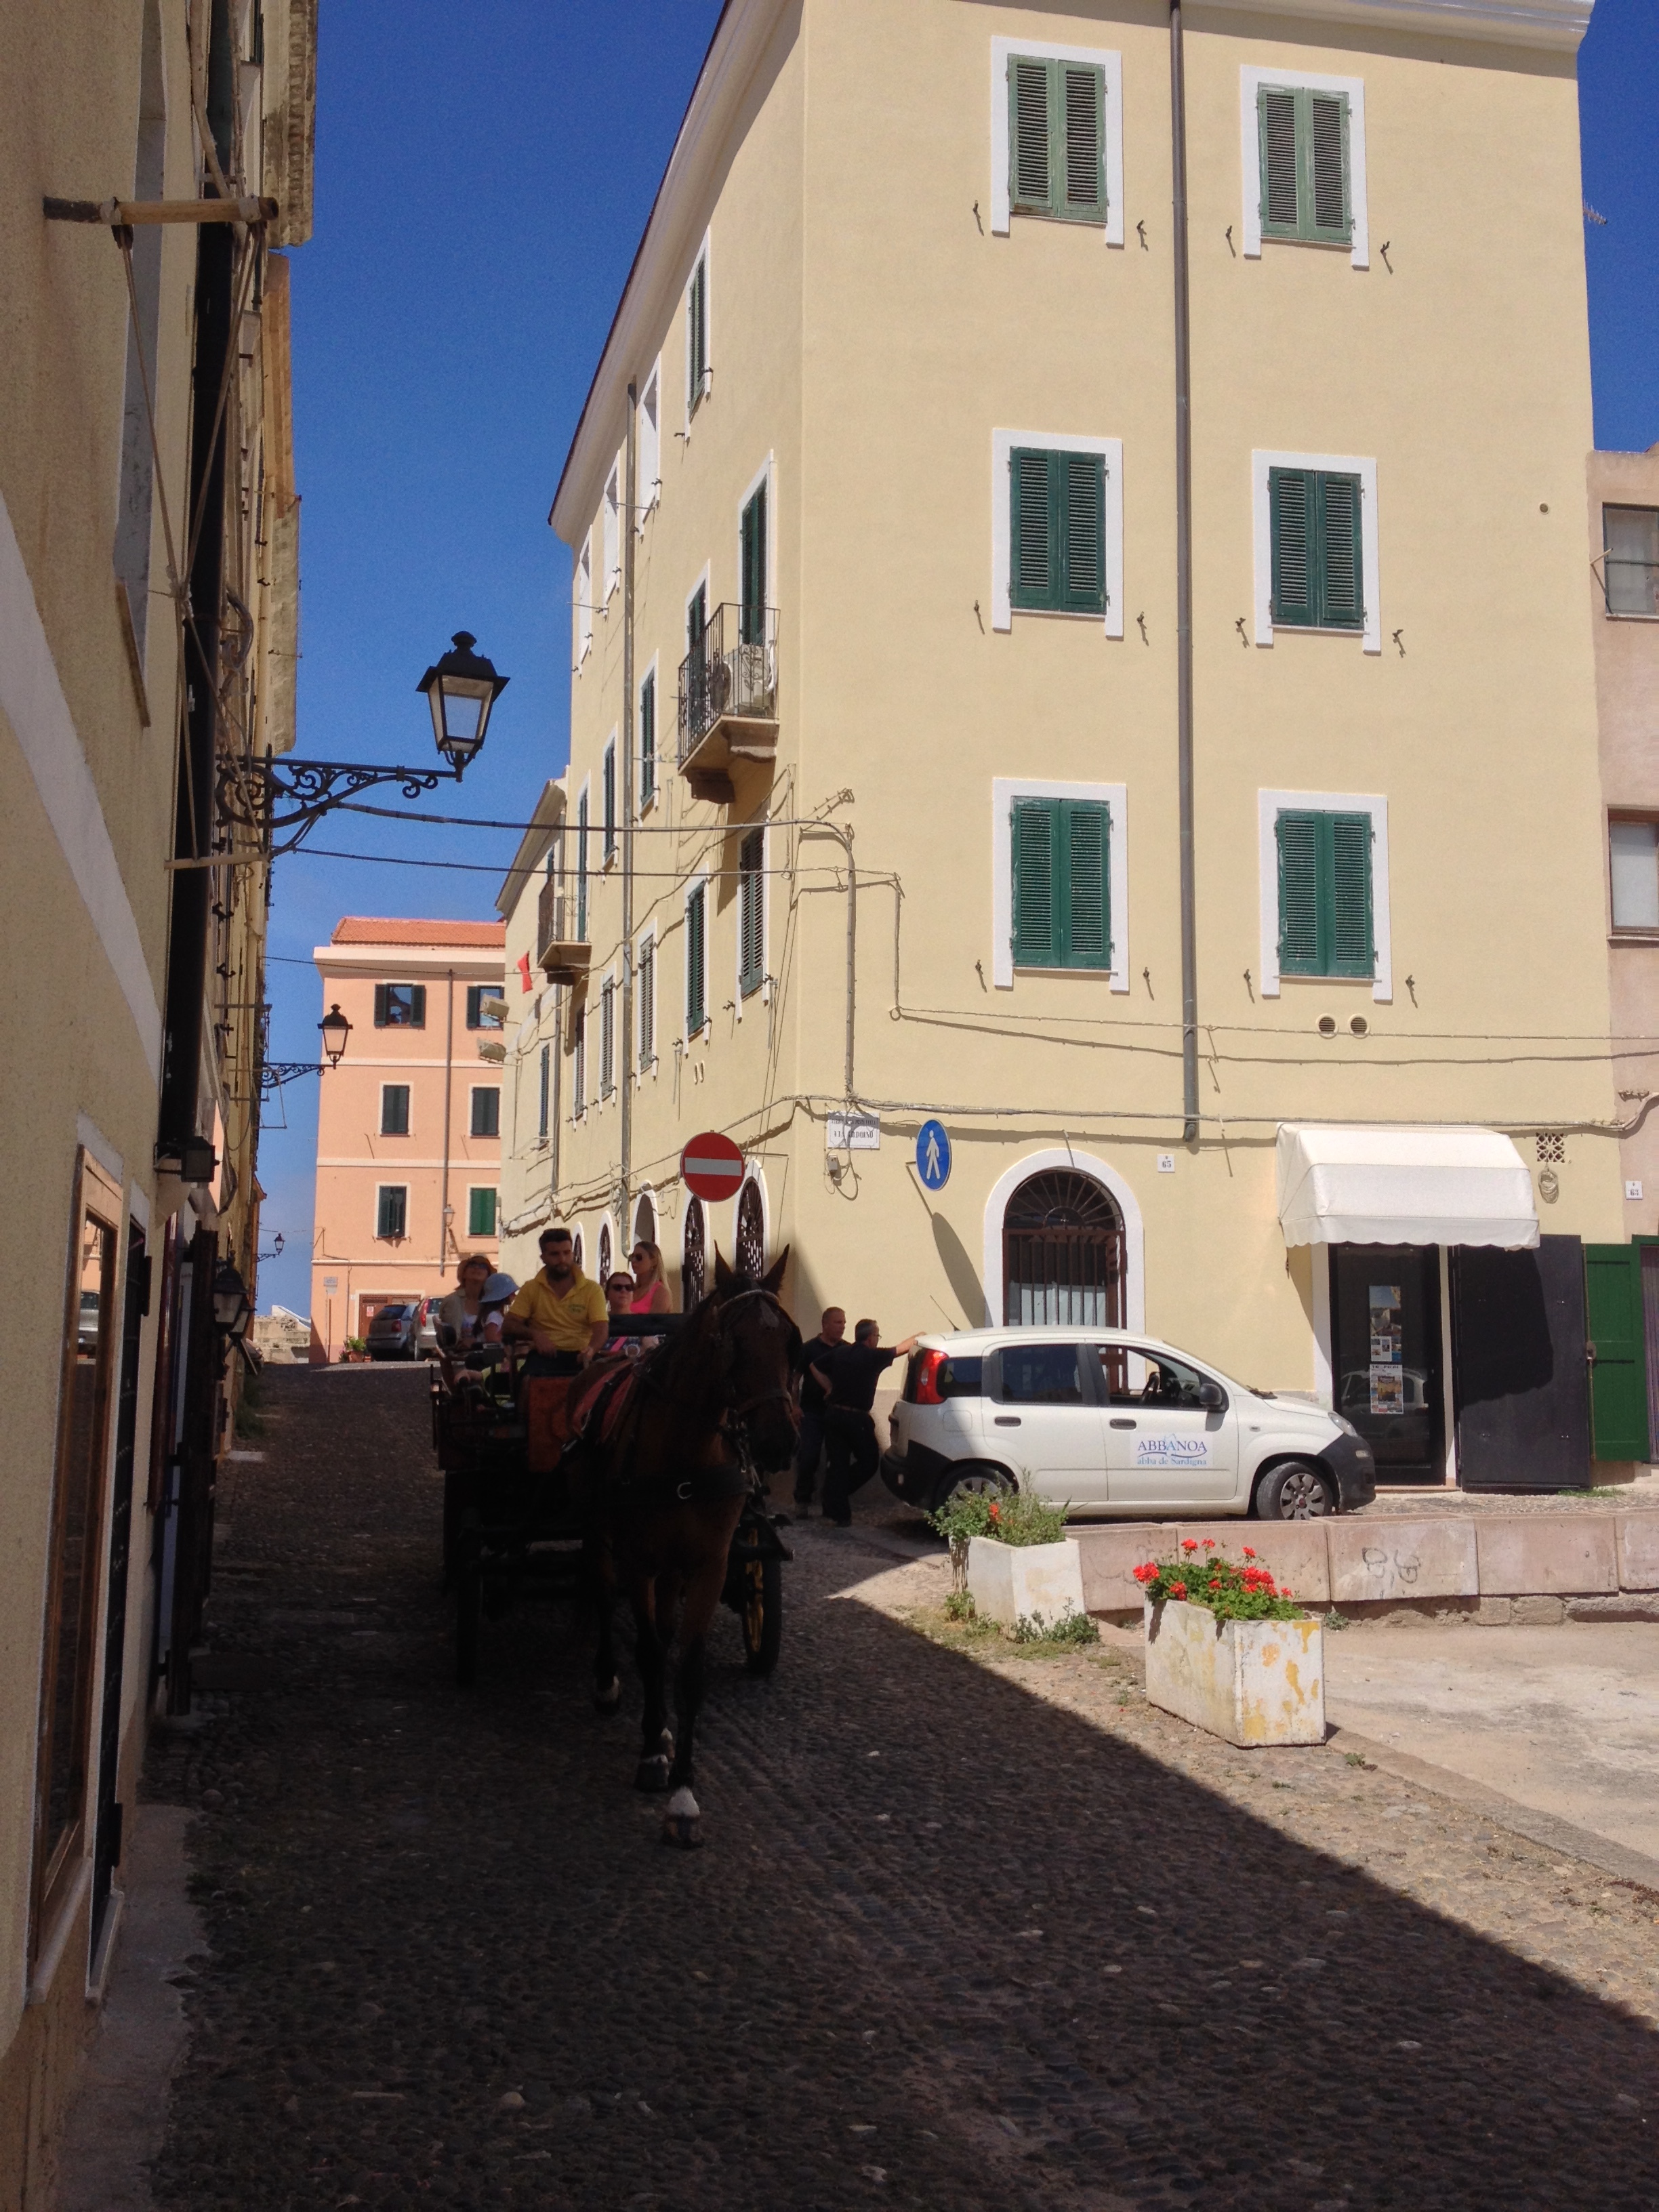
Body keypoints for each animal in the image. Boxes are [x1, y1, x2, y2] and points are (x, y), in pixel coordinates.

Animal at [579, 1247, 800, 1849]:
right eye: (733, 1343)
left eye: (791, 1342)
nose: (778, 1441)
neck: (684, 1449)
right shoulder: (638, 1559)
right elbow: (651, 1653)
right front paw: (653, 1757)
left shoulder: (709, 1563)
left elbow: (688, 1666)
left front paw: (683, 1791)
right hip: (601, 1536)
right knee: (603, 1600)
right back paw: (607, 1683)